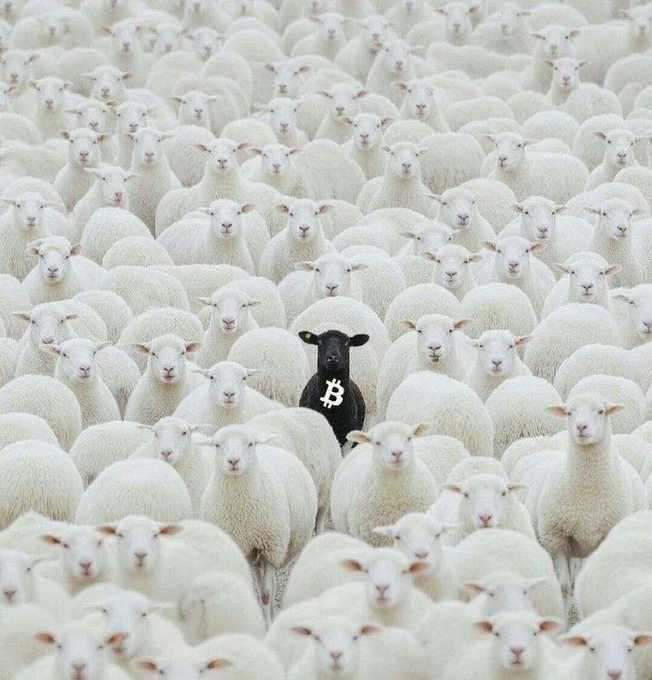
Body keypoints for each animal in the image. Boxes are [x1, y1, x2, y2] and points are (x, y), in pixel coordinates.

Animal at [200, 423, 318, 622]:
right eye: (217, 445)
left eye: (250, 444)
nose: (233, 461)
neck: (242, 516)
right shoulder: (247, 551)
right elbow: (258, 592)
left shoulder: (270, 549)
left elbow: (266, 594)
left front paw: (268, 623)